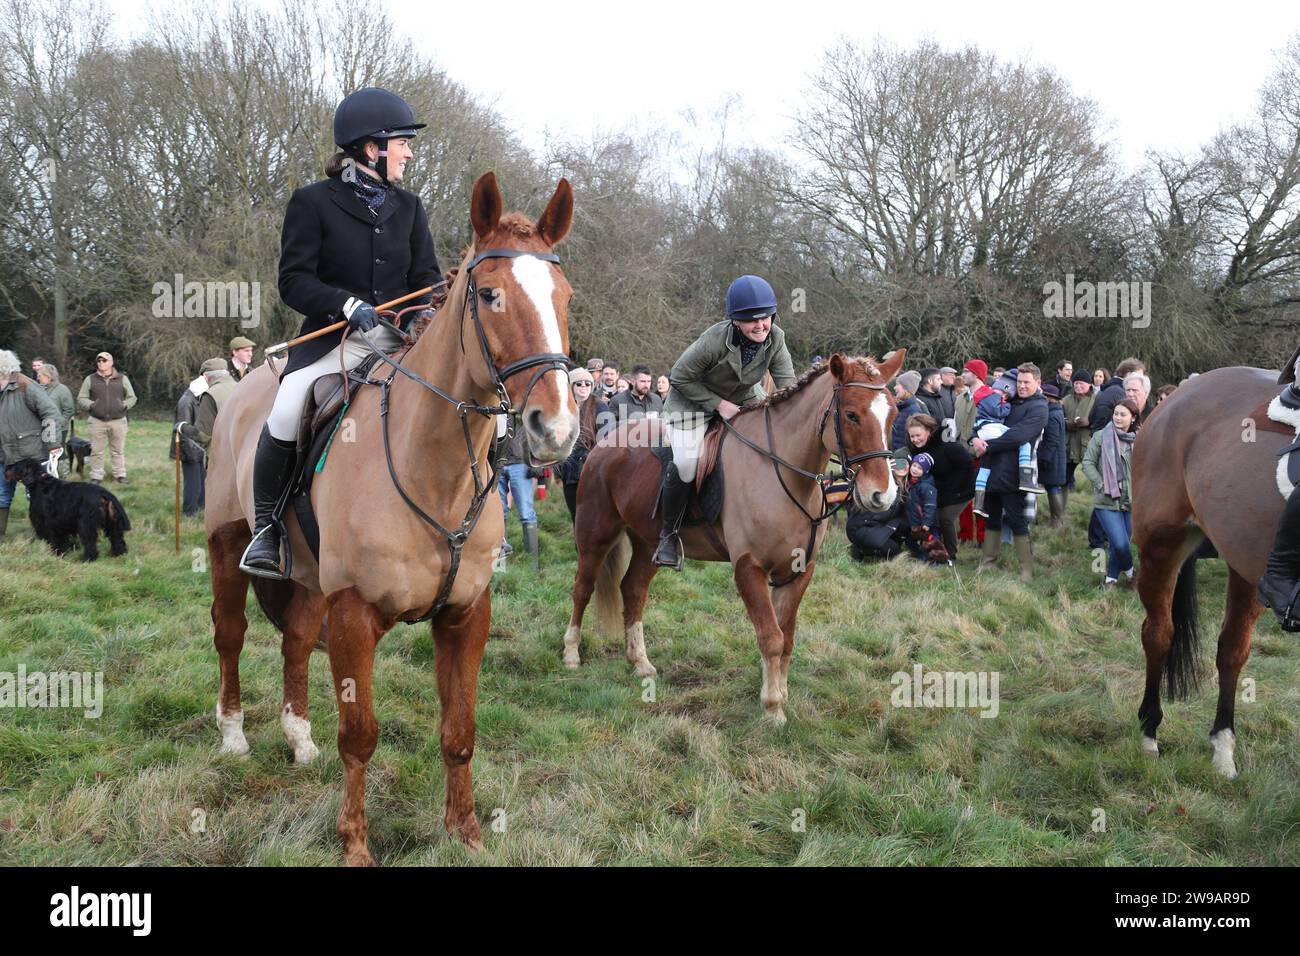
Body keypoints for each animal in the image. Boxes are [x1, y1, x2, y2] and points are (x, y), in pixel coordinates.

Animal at [205, 171, 577, 868]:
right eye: (490, 294)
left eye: (564, 298)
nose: (557, 429)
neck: (435, 471)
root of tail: (240, 392)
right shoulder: (354, 614)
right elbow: (360, 736)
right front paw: (354, 844)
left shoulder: (465, 614)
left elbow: (459, 729)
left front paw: (466, 832)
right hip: (226, 547)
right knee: (231, 635)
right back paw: (234, 736)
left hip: (308, 579)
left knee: (296, 639)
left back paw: (298, 739)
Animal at [564, 348, 909, 717]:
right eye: (851, 415)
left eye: (893, 415)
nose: (883, 495)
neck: (785, 474)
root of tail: (604, 442)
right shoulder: (749, 568)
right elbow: (771, 638)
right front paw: (772, 708)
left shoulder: (798, 571)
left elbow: (786, 637)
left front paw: (779, 693)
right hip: (595, 535)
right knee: (582, 589)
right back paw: (571, 653)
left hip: (648, 543)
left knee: (633, 590)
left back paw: (640, 662)